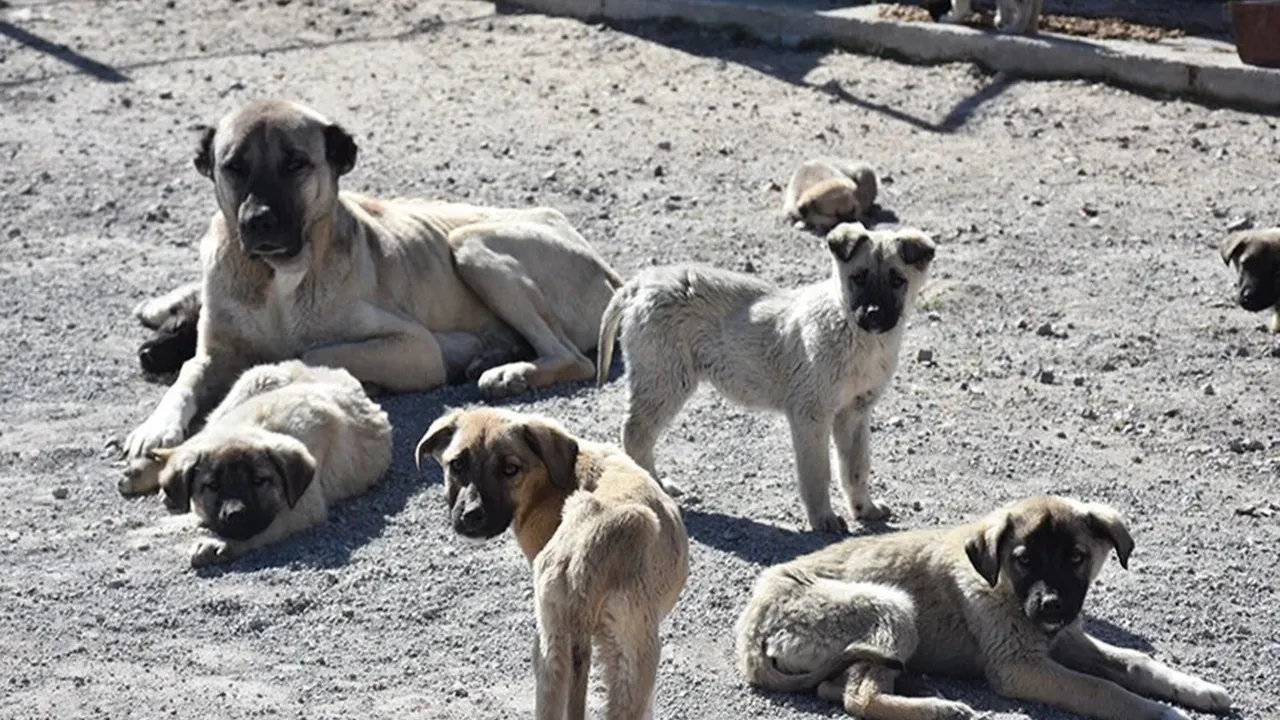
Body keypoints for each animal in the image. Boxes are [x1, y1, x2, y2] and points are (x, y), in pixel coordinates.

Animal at [119, 358, 389, 566]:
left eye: (259, 481)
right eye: (212, 486)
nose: (235, 514)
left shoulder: (303, 507)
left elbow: (260, 530)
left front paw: (218, 544)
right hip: (246, 386)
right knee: (190, 440)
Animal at [122, 99, 622, 458]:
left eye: (296, 163)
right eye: (234, 166)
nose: (258, 221)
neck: (277, 279)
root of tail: (607, 268)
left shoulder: (415, 348)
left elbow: (311, 350)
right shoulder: (212, 353)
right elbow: (187, 375)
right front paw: (155, 425)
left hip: (470, 244)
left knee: (572, 357)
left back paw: (511, 371)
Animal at [593, 221, 936, 530]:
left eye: (897, 280)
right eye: (859, 277)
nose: (874, 315)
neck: (855, 333)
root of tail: (641, 284)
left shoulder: (854, 413)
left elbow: (856, 468)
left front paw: (864, 508)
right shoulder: (811, 415)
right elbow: (817, 472)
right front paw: (823, 519)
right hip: (664, 381)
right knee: (635, 434)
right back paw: (655, 487)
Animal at [737, 491, 1233, 717]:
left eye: (1076, 557)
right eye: (1024, 559)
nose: (1051, 606)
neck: (1005, 590)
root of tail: (749, 634)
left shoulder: (1070, 640)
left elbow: (1135, 662)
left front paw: (1197, 689)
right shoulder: (1018, 666)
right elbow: (1099, 688)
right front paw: (1159, 711)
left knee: (835, 689)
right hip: (890, 605)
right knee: (858, 698)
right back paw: (942, 709)